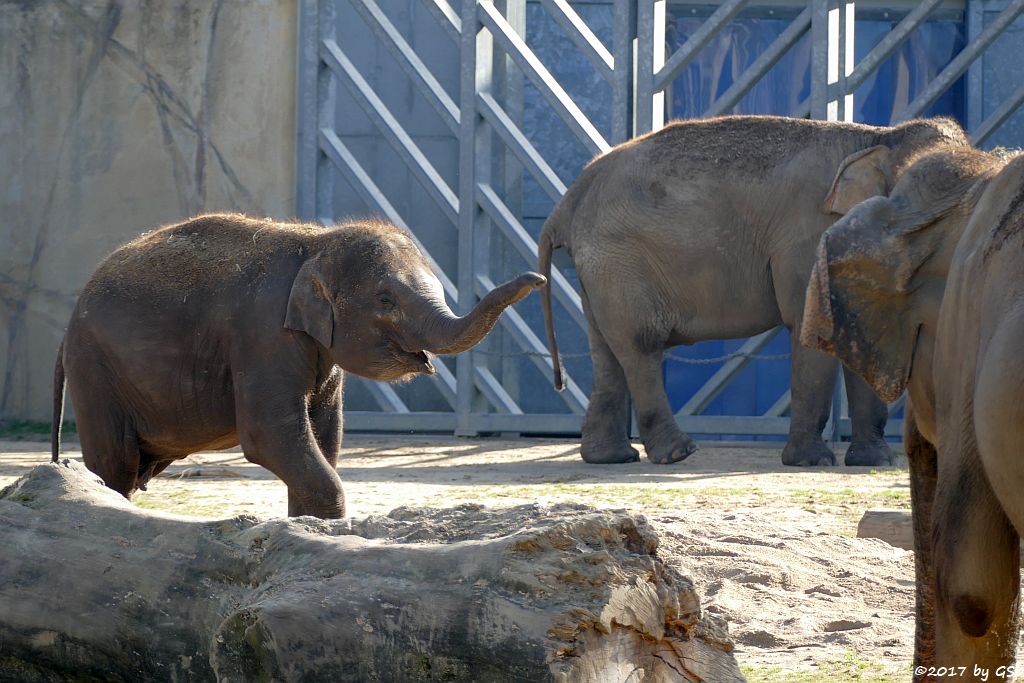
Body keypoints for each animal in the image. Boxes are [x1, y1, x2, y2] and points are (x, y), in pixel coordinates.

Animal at [49, 214, 544, 518]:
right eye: (386, 300)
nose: (538, 278)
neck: (315, 243)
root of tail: (68, 324)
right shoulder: (262, 336)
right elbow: (270, 436)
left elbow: (324, 436)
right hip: (94, 370)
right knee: (114, 462)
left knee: (135, 467)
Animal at [536, 114, 966, 466]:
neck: (881, 136)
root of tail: (567, 201)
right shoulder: (807, 237)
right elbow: (809, 325)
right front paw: (810, 463)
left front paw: (875, 462)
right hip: (619, 261)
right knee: (640, 346)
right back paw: (678, 454)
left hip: (601, 269)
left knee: (608, 353)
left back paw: (609, 458)